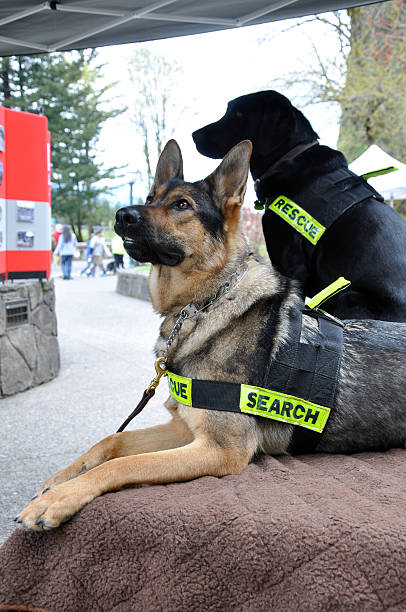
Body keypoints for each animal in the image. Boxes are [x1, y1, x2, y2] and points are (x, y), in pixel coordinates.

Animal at [15, 140, 406, 532]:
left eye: (182, 205)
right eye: (150, 197)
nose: (122, 215)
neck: (206, 303)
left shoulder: (219, 449)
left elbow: (124, 463)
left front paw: (60, 498)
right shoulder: (184, 429)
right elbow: (112, 440)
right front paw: (60, 479)